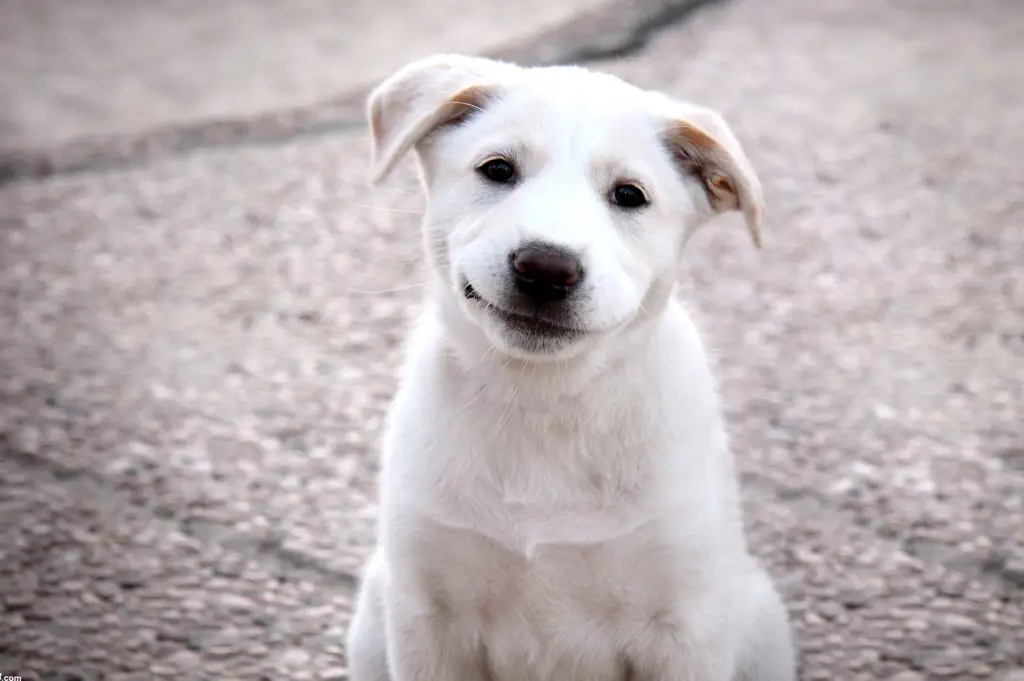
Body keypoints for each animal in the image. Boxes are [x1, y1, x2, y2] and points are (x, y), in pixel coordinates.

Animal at [348, 54, 794, 679]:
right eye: (497, 169)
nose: (546, 267)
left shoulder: (686, 625)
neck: (544, 403)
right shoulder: (426, 614)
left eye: (629, 195)